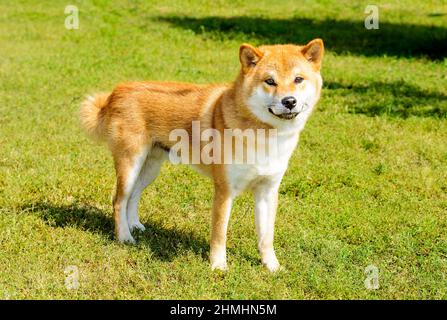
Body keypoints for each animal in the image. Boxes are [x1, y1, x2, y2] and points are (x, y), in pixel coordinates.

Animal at [80, 38, 324, 272]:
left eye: (298, 79)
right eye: (270, 81)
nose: (289, 101)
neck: (264, 134)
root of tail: (117, 91)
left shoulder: (267, 191)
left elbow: (266, 237)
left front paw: (272, 266)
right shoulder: (224, 190)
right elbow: (219, 234)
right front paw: (218, 266)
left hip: (150, 168)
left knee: (133, 196)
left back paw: (135, 226)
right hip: (131, 164)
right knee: (118, 201)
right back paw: (124, 237)